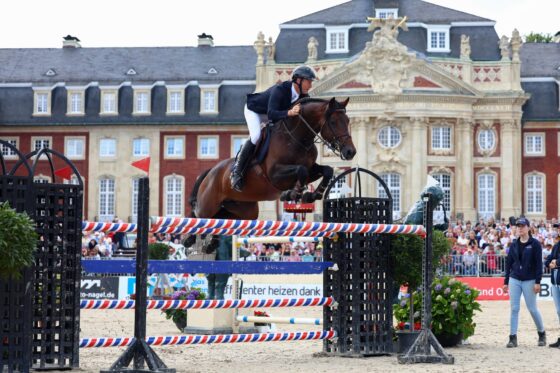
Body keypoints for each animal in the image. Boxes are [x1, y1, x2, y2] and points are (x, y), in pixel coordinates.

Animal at [186, 97, 356, 251]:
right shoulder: (275, 175)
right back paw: (190, 238)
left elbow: (327, 170)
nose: (350, 152)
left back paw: (211, 243)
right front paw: (292, 194)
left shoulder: (311, 170)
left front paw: (313, 195)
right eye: (333, 122)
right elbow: (301, 170)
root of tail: (211, 171)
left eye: (348, 121)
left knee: (218, 219)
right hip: (208, 203)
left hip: (243, 210)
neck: (297, 138)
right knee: (198, 214)